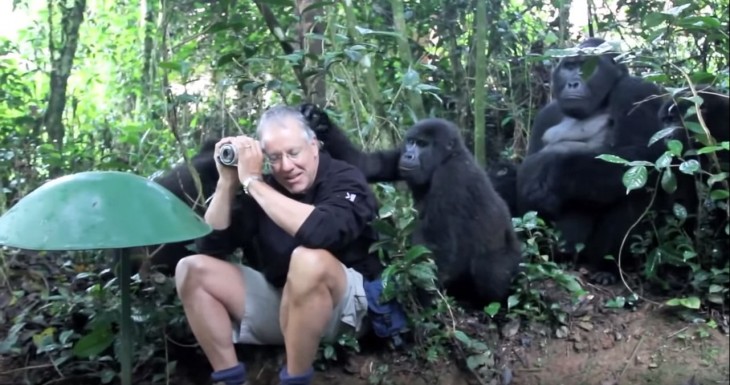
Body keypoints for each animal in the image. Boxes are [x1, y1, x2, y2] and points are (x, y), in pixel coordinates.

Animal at [298, 103, 520, 306]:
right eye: (412, 142)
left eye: (423, 144)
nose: (409, 155)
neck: (448, 157)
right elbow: (366, 164)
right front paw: (319, 121)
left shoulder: (452, 176)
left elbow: (440, 248)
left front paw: (422, 301)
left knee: (488, 270)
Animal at [512, 37, 664, 284]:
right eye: (569, 66)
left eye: (586, 66)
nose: (573, 83)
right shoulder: (547, 113)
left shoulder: (637, 89)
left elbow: (642, 156)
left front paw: (550, 170)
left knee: (637, 188)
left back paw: (607, 267)